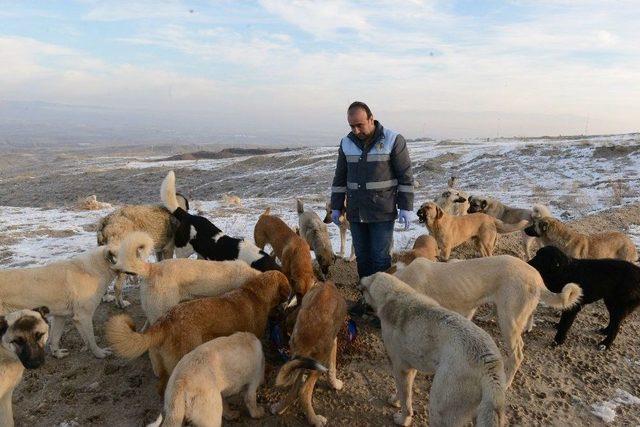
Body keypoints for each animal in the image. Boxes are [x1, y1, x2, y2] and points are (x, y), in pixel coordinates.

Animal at [272, 282, 348, 426]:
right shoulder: (334, 342)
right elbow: (332, 368)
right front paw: (335, 384)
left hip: (299, 355)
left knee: (294, 390)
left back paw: (280, 408)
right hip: (320, 361)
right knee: (303, 392)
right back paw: (315, 420)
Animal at [360, 274, 504, 427]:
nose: (359, 284)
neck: (396, 295)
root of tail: (490, 370)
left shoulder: (400, 367)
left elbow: (405, 399)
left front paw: (403, 419)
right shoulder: (411, 366)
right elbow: (403, 391)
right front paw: (396, 400)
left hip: (438, 407)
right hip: (481, 413)